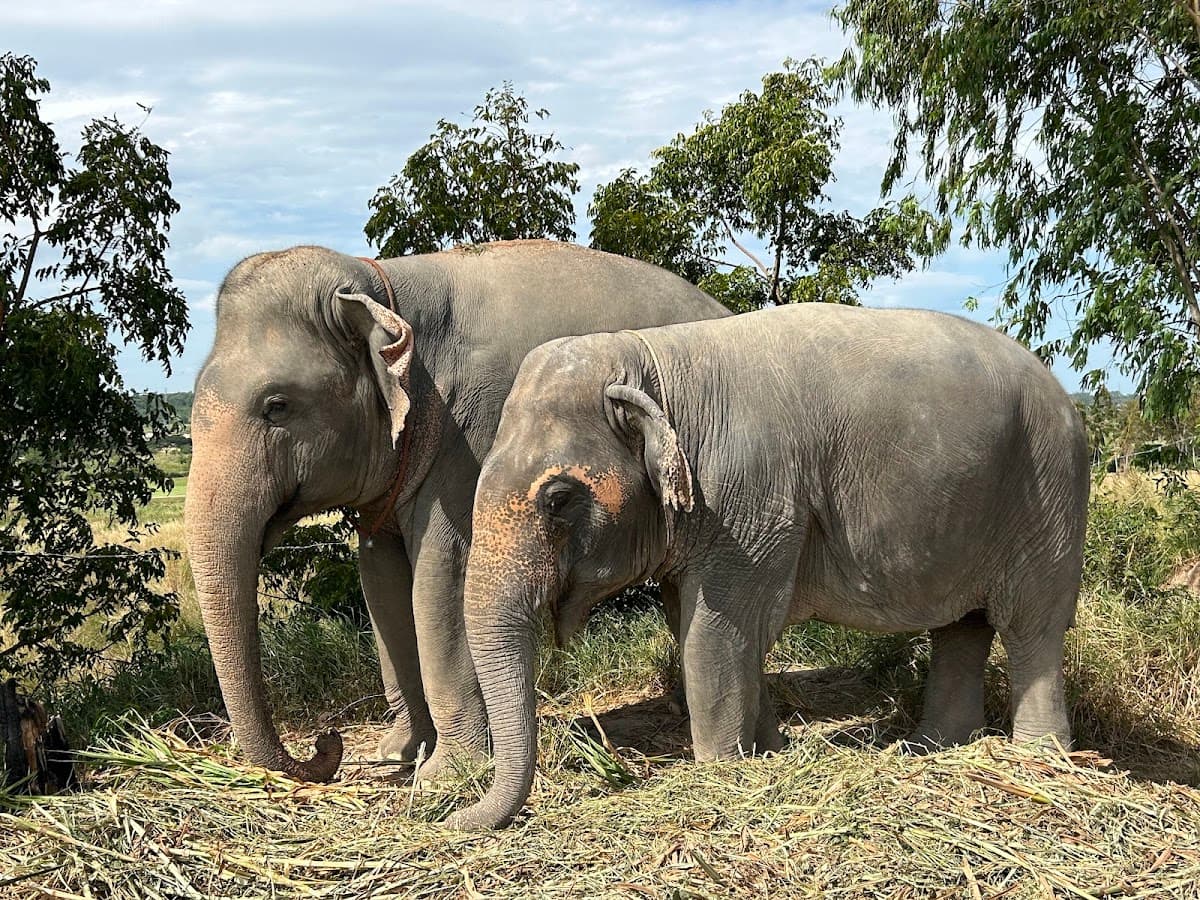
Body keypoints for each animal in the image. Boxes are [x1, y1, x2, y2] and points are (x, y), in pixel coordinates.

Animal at [183, 240, 729, 782]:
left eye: (276, 406)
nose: (328, 743)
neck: (381, 286)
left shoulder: (469, 437)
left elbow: (440, 577)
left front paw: (444, 775)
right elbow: (380, 582)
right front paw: (398, 755)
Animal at [446, 302, 1090, 830]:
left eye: (558, 498)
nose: (451, 817)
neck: (652, 362)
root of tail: (1066, 397)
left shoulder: (750, 501)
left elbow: (715, 632)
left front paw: (719, 772)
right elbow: (716, 630)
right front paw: (767, 752)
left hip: (1048, 498)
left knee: (1031, 626)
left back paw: (1036, 757)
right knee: (963, 627)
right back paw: (935, 748)